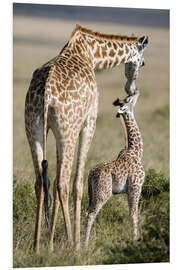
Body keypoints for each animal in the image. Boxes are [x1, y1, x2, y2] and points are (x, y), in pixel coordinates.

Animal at [84, 88, 145, 247]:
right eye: (129, 99)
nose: (137, 90)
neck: (136, 151)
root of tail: (90, 174)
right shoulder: (136, 186)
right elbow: (133, 214)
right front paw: (135, 240)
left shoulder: (129, 190)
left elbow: (131, 213)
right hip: (103, 193)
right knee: (90, 214)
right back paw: (83, 245)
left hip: (92, 193)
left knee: (86, 211)